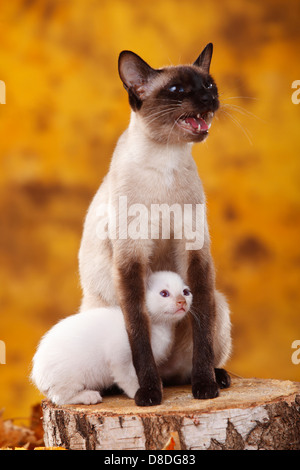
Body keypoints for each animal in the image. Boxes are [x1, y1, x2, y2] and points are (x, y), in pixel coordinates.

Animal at [30, 270, 192, 406]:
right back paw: (89, 396)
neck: (158, 328)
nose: (181, 301)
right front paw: (140, 393)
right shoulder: (119, 359)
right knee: (60, 398)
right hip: (70, 377)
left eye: (185, 292)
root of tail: (37, 374)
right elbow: (127, 378)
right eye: (164, 293)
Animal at [78, 42, 232, 406]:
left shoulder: (195, 255)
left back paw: (215, 377)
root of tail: (169, 370)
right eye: (177, 90)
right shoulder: (131, 259)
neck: (166, 162)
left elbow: (202, 333)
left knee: (189, 363)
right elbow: (139, 335)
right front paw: (148, 393)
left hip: (219, 303)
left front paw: (205, 388)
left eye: (209, 85)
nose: (210, 99)